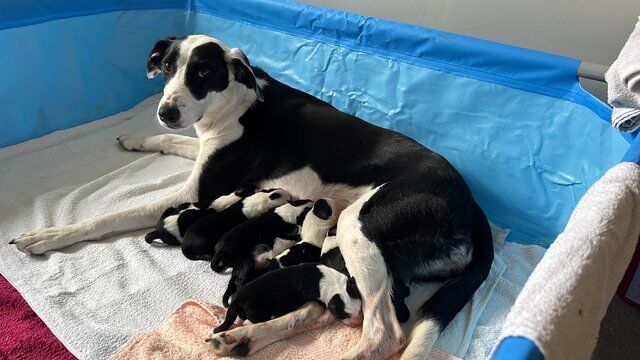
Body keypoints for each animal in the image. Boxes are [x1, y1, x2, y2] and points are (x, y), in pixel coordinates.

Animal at [209, 262, 360, 336]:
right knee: (252, 319)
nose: (358, 322)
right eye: (343, 314)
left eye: (360, 309)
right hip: (256, 310)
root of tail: (237, 299)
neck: (333, 283)